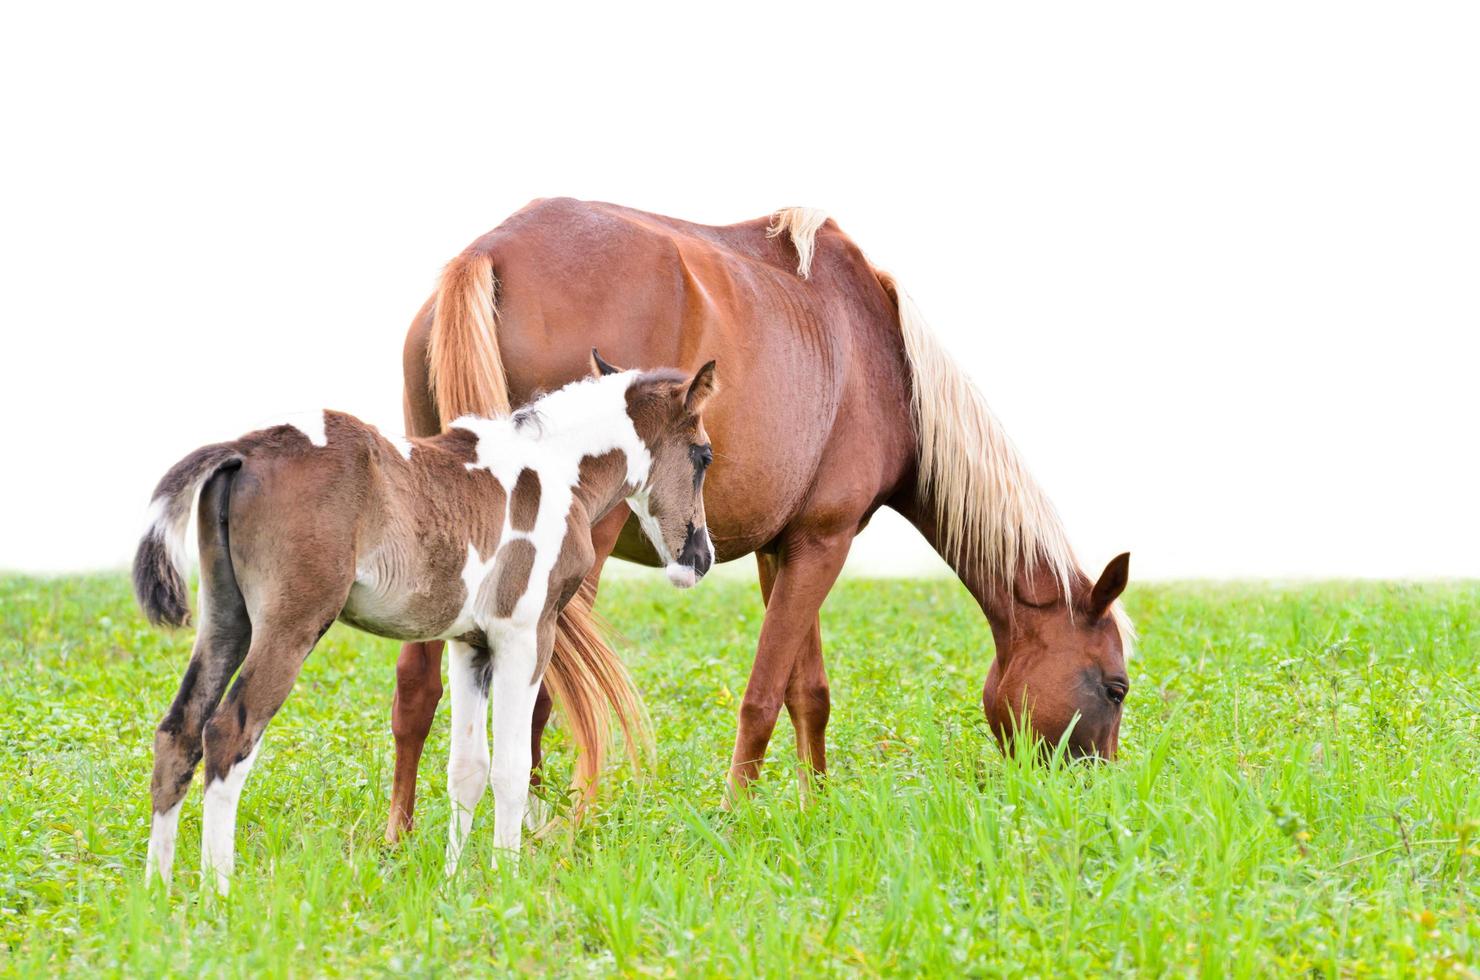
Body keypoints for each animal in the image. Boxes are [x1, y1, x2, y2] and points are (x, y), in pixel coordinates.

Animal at [136, 356, 719, 894]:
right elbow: (510, 768)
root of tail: (243, 449)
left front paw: (454, 881)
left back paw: (158, 893)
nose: (700, 558)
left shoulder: (470, 645)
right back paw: (218, 893)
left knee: (179, 731)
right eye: (703, 455)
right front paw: (506, 882)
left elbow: (467, 769)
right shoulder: (525, 636)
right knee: (228, 733)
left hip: (225, 621)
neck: (555, 471)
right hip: (291, 625)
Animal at [387, 201, 1136, 846]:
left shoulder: (787, 549)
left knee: (418, 685)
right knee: (537, 700)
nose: (1094, 797)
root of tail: (490, 253)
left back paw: (400, 836)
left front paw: (816, 808)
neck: (884, 359)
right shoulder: (824, 543)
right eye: (1115, 687)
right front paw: (735, 817)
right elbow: (764, 695)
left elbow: (809, 693)